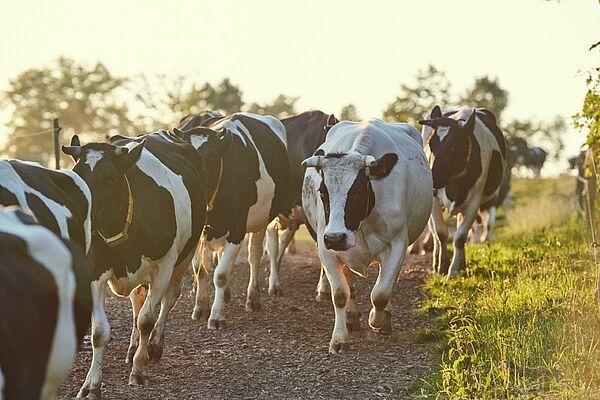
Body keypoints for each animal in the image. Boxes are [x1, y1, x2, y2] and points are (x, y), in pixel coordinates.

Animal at [61, 130, 206, 396]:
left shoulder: (163, 268)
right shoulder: (94, 272)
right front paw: (91, 384)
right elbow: (99, 331)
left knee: (168, 299)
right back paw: (133, 347)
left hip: (185, 256)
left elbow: (147, 319)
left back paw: (154, 347)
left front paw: (139, 370)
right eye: (76, 175)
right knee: (137, 301)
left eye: (110, 178)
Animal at [172, 111, 290, 328]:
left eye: (211, 158)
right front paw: (201, 307)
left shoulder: (237, 229)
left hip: (263, 219)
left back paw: (253, 298)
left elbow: (220, 274)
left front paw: (216, 316)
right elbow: (200, 270)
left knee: (255, 256)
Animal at [302, 119, 434, 354]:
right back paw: (352, 316)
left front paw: (378, 320)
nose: (336, 237)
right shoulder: (326, 248)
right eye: (322, 193)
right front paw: (339, 338)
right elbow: (340, 293)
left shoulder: (398, 245)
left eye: (356, 192)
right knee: (350, 285)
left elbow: (381, 294)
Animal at [420, 104, 508, 276]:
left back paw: (462, 263)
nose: (433, 179)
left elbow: (460, 236)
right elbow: (440, 232)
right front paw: (442, 265)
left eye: (453, 147)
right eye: (431, 144)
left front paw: (454, 270)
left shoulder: (475, 201)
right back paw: (435, 260)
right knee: (433, 232)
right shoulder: (433, 199)